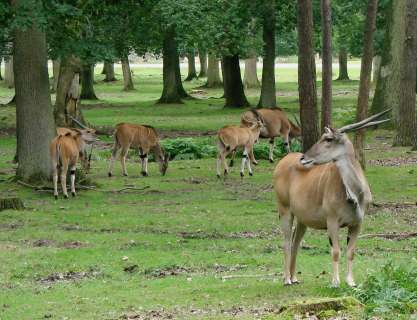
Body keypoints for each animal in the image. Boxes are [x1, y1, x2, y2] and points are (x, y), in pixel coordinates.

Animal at [272, 110, 390, 288]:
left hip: (302, 220)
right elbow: (335, 251)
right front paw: (335, 282)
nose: (303, 158)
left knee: (295, 243)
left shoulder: (357, 224)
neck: (356, 194)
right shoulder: (332, 222)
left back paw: (294, 277)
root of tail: (282, 162)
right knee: (286, 243)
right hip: (285, 211)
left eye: (328, 139)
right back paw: (286, 279)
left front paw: (351, 282)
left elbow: (351, 252)